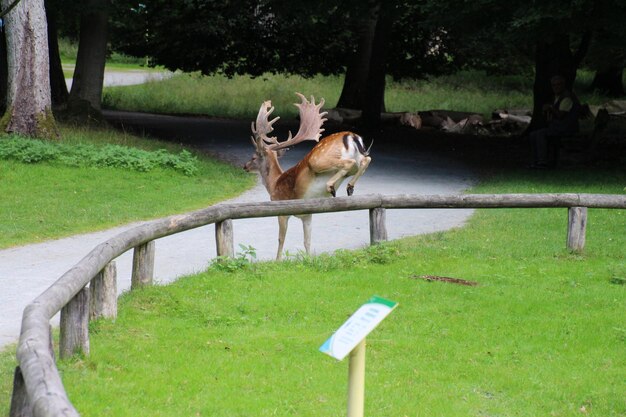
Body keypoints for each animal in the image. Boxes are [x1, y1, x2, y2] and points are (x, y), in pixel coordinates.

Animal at [243, 92, 370, 258]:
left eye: (253, 157)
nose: (245, 166)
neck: (274, 183)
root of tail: (352, 136)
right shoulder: (307, 214)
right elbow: (307, 241)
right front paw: (309, 259)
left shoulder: (281, 208)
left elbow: (281, 239)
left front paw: (278, 260)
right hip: (355, 159)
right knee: (366, 160)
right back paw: (349, 187)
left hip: (318, 160)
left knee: (349, 163)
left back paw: (332, 186)